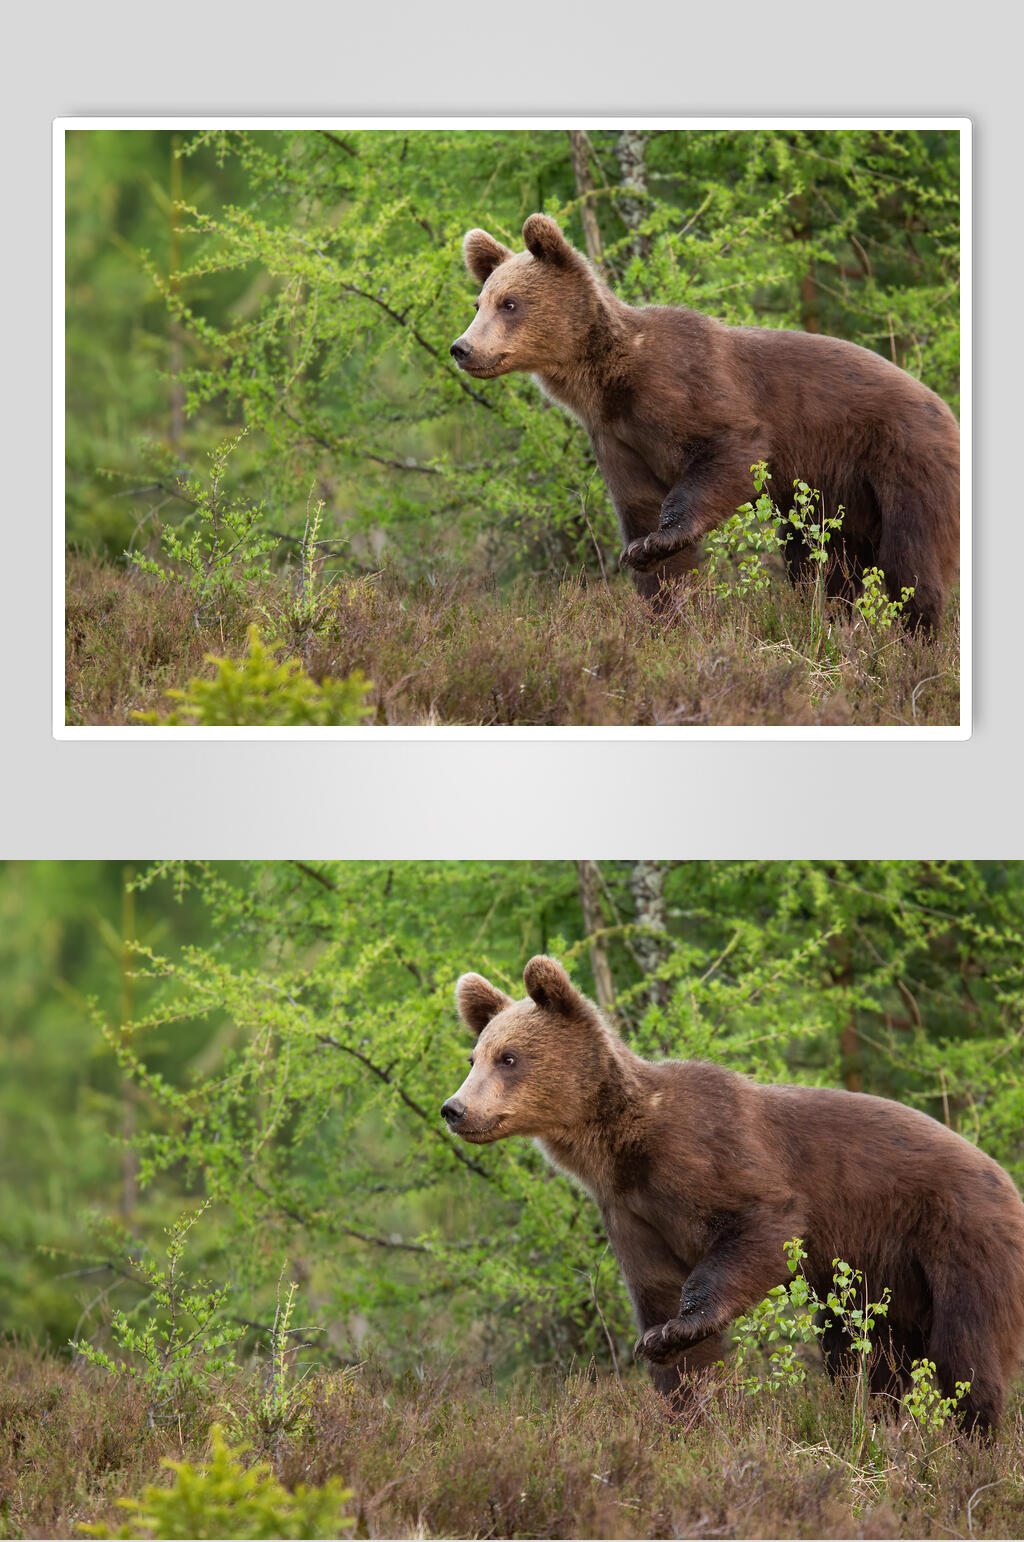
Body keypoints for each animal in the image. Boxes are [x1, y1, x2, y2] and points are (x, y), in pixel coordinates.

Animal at [441, 956, 1024, 1434]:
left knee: (965, 1350)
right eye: (474, 1057)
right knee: (867, 1350)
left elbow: (762, 1225)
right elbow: (658, 1296)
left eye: (509, 1057)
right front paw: (684, 1396)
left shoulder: (710, 1155)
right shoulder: (631, 1211)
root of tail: (1006, 1179)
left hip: (958, 1238)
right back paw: (877, 1419)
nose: (454, 1108)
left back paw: (973, 1440)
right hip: (883, 1273)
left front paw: (679, 1328)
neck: (621, 1147)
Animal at [450, 215, 960, 630]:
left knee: (910, 559)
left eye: (510, 303)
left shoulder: (683, 388)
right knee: (824, 560)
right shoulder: (616, 436)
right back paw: (831, 618)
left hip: (902, 461)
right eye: (479, 303)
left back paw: (918, 638)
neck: (607, 381)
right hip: (837, 493)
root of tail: (946, 409)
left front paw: (659, 540)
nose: (462, 348)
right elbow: (640, 511)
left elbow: (731, 449)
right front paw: (664, 601)